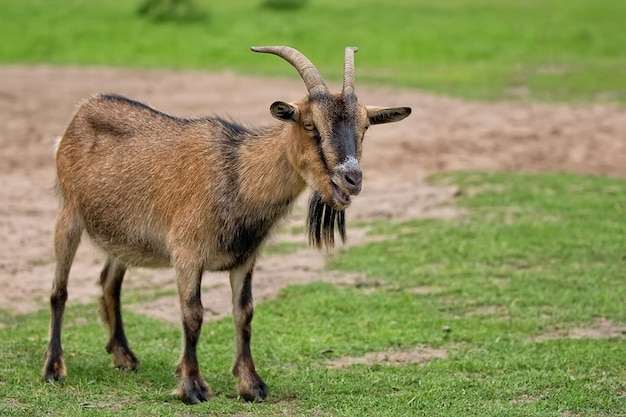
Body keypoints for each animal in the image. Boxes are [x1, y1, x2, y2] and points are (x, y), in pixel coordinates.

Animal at [42, 46, 410, 404]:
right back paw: (54, 367)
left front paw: (251, 386)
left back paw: (124, 356)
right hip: (69, 214)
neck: (238, 173)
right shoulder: (187, 253)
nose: (352, 179)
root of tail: (82, 110)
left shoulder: (245, 258)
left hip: (121, 235)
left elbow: (244, 314)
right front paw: (191, 386)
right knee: (60, 290)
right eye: (309, 124)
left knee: (109, 282)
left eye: (365, 126)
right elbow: (193, 314)